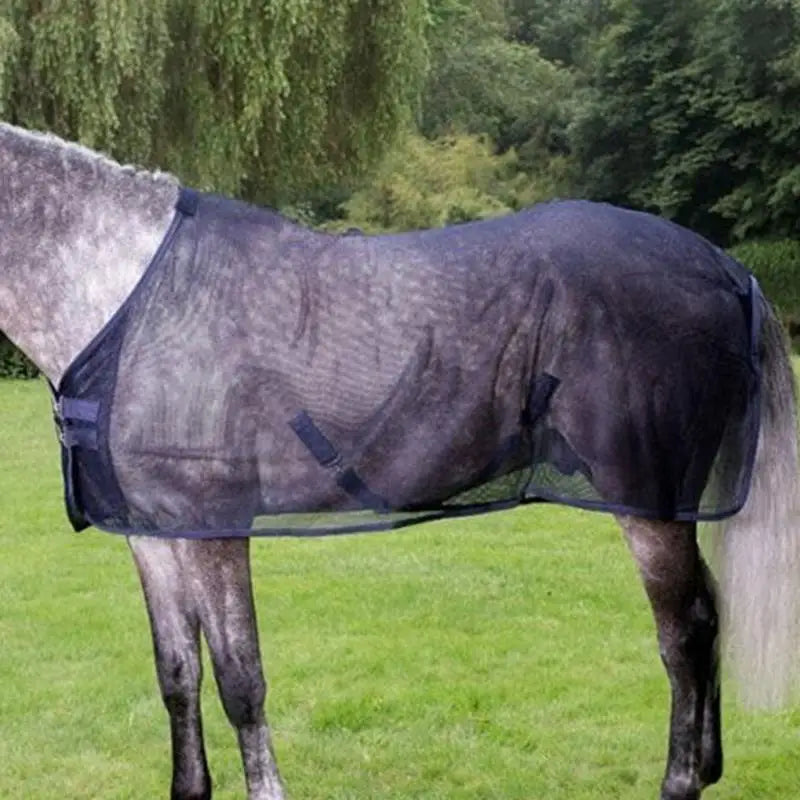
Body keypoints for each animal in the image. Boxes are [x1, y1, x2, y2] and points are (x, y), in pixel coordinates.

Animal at [1, 121, 798, 800]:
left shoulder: (215, 529)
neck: (128, 294)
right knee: (710, 613)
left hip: (648, 502)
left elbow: (240, 679)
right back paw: (710, 765)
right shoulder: (153, 533)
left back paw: (681, 780)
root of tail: (726, 267)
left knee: (686, 631)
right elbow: (178, 674)